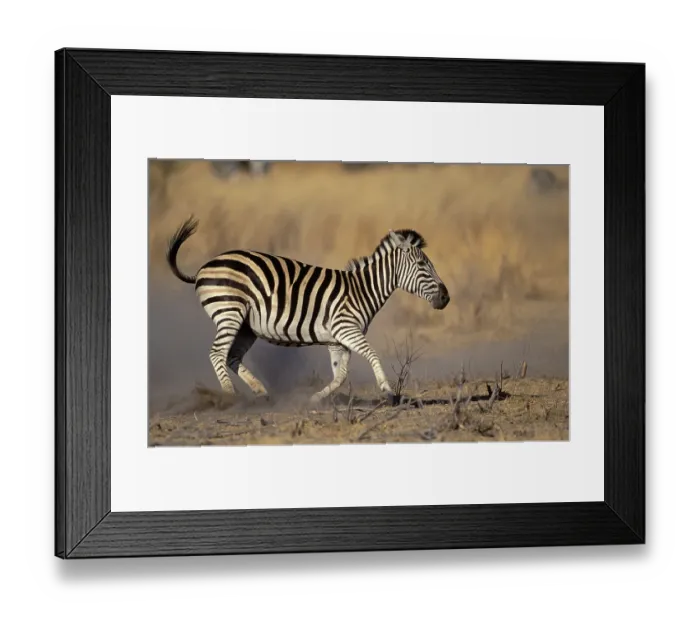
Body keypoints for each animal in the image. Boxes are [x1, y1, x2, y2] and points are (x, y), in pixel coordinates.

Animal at [166, 217, 450, 404]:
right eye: (423, 265)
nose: (446, 298)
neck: (361, 290)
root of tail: (204, 267)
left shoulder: (338, 340)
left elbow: (341, 374)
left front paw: (316, 398)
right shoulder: (346, 329)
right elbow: (372, 354)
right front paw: (388, 390)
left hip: (246, 326)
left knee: (232, 357)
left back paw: (260, 392)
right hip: (229, 312)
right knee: (217, 353)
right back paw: (231, 397)